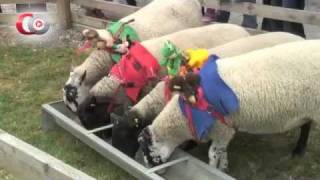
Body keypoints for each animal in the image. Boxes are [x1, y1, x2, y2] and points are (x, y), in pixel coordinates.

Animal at [138, 40, 320, 171]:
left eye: (146, 149)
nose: (148, 167)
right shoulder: (225, 131)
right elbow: (221, 152)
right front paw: (223, 168)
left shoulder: (221, 129)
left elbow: (213, 154)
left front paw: (214, 169)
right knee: (306, 124)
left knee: (306, 126)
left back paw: (299, 150)